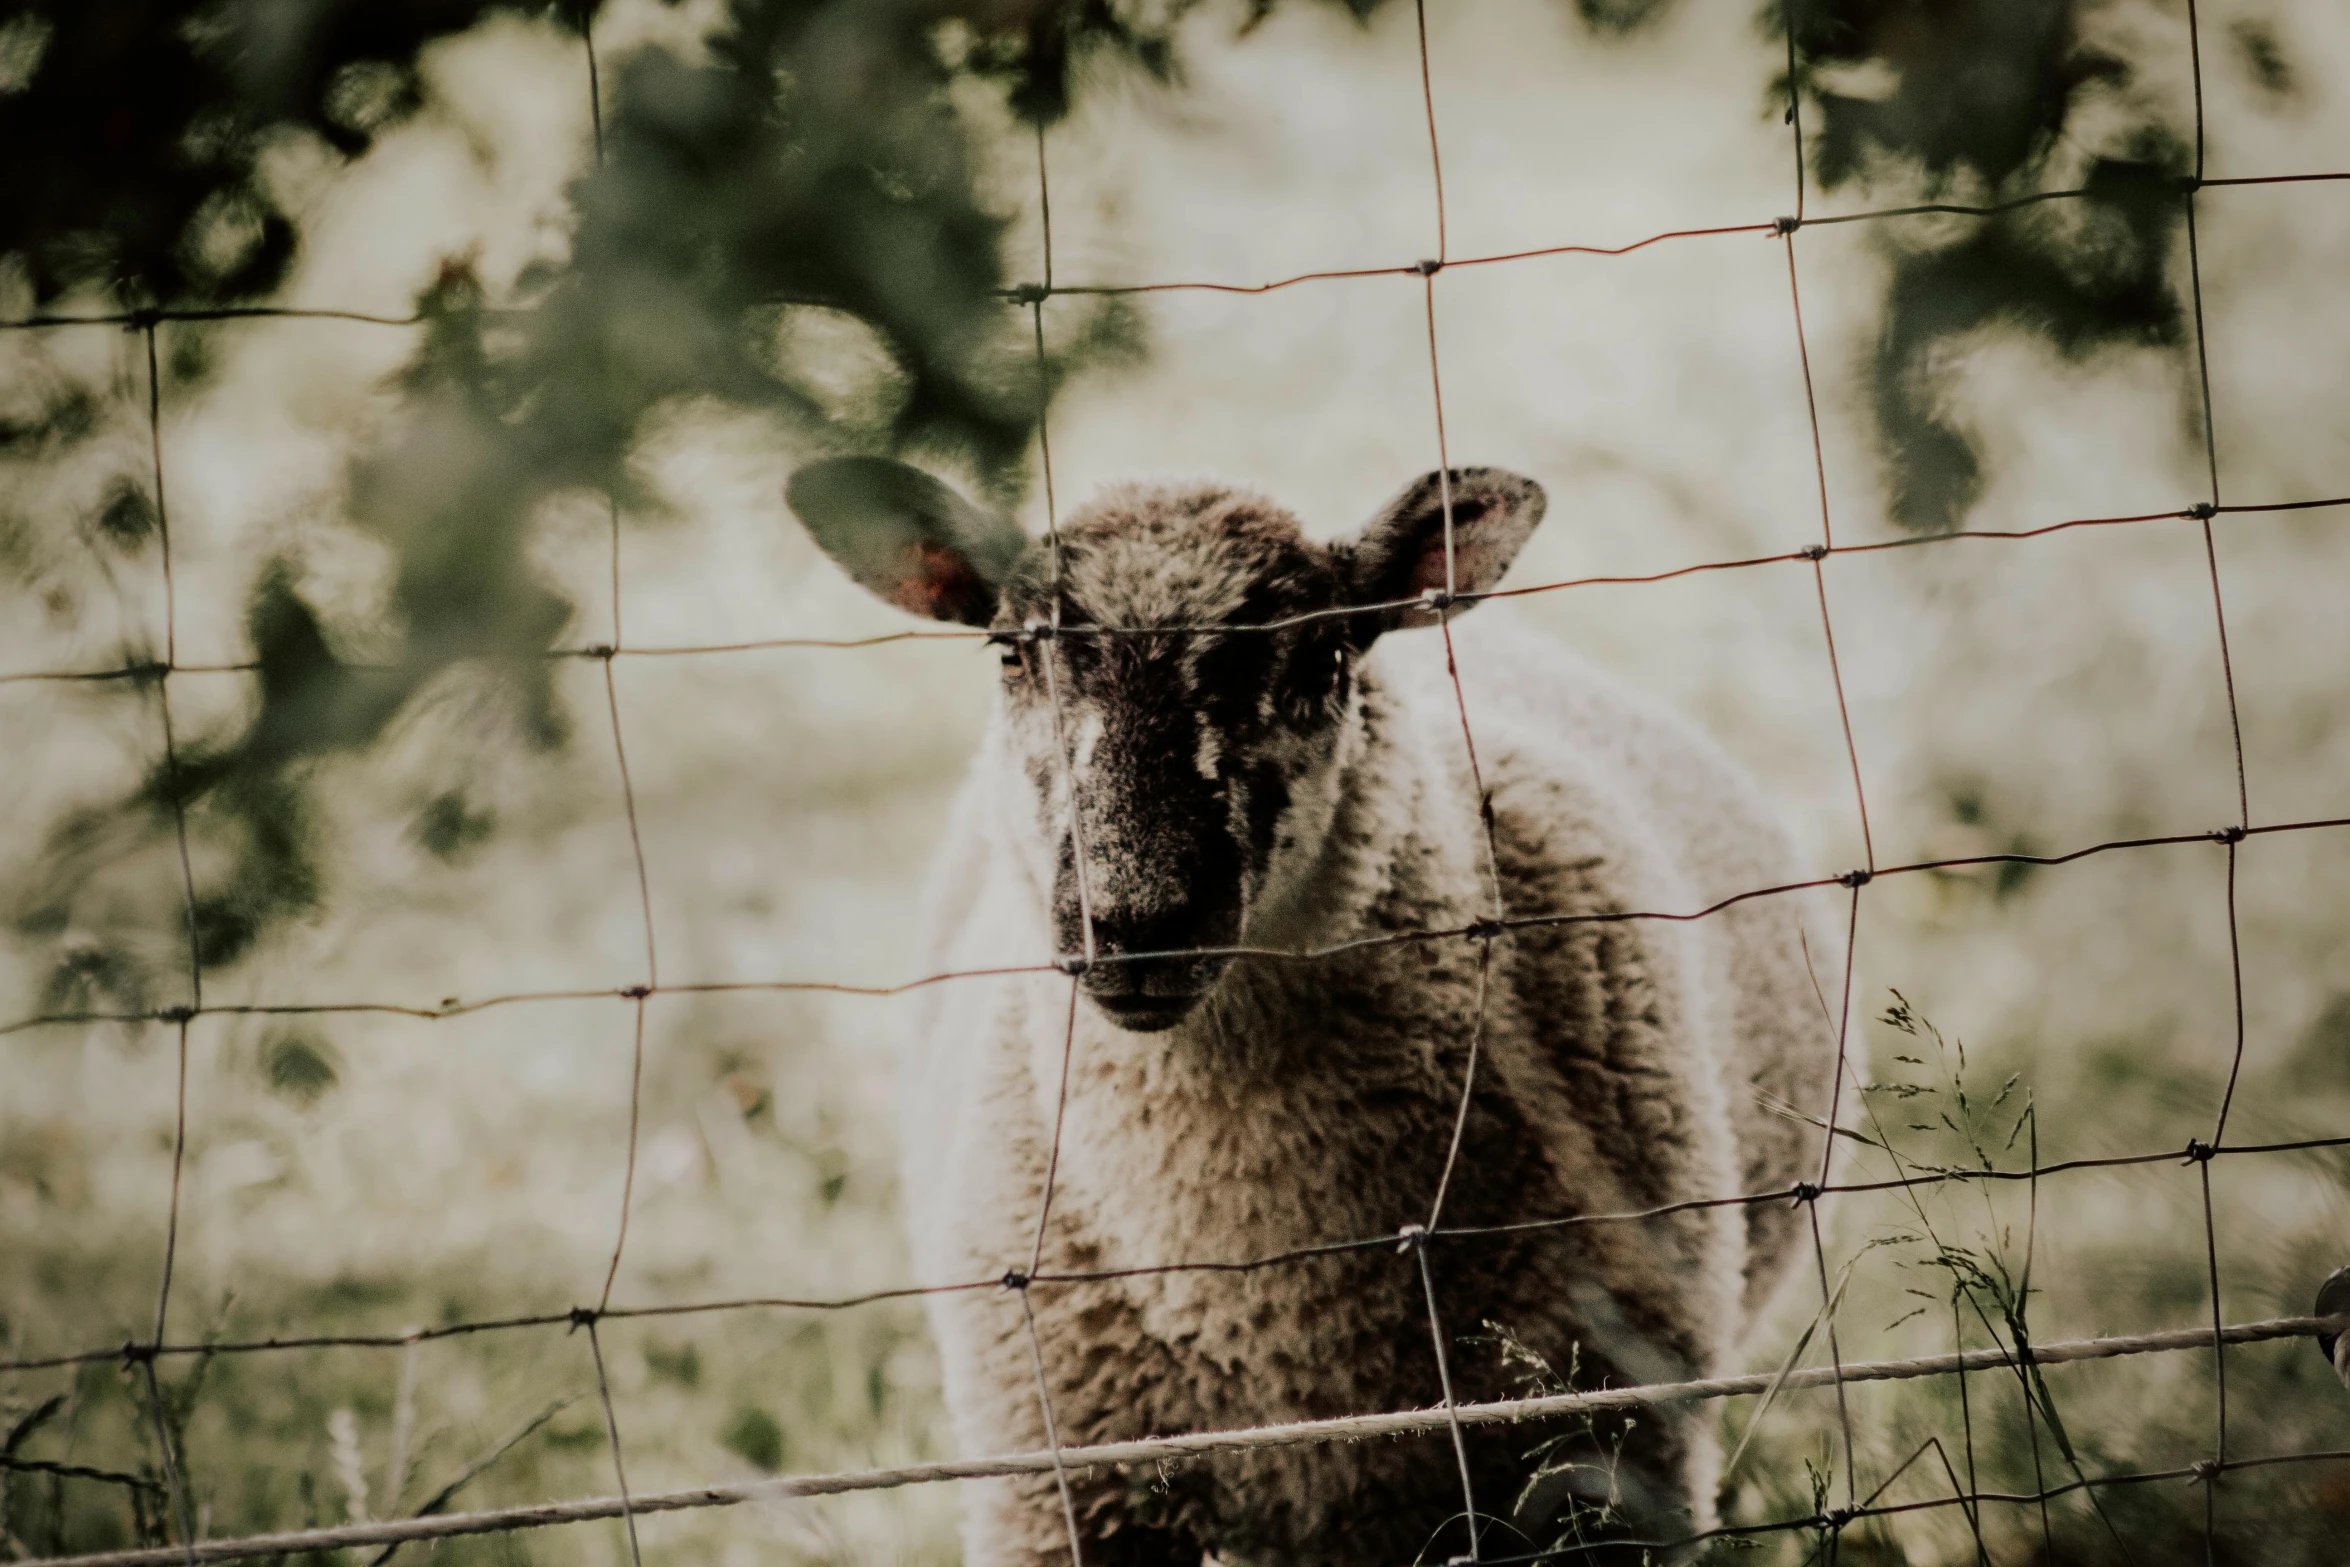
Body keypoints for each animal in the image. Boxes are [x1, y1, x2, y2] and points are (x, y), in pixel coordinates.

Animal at [789, 455, 1851, 1567]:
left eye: (1326, 655)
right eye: (1010, 650)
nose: (1136, 922)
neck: (1262, 1281)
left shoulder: (1611, 1463)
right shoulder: (1067, 1491)